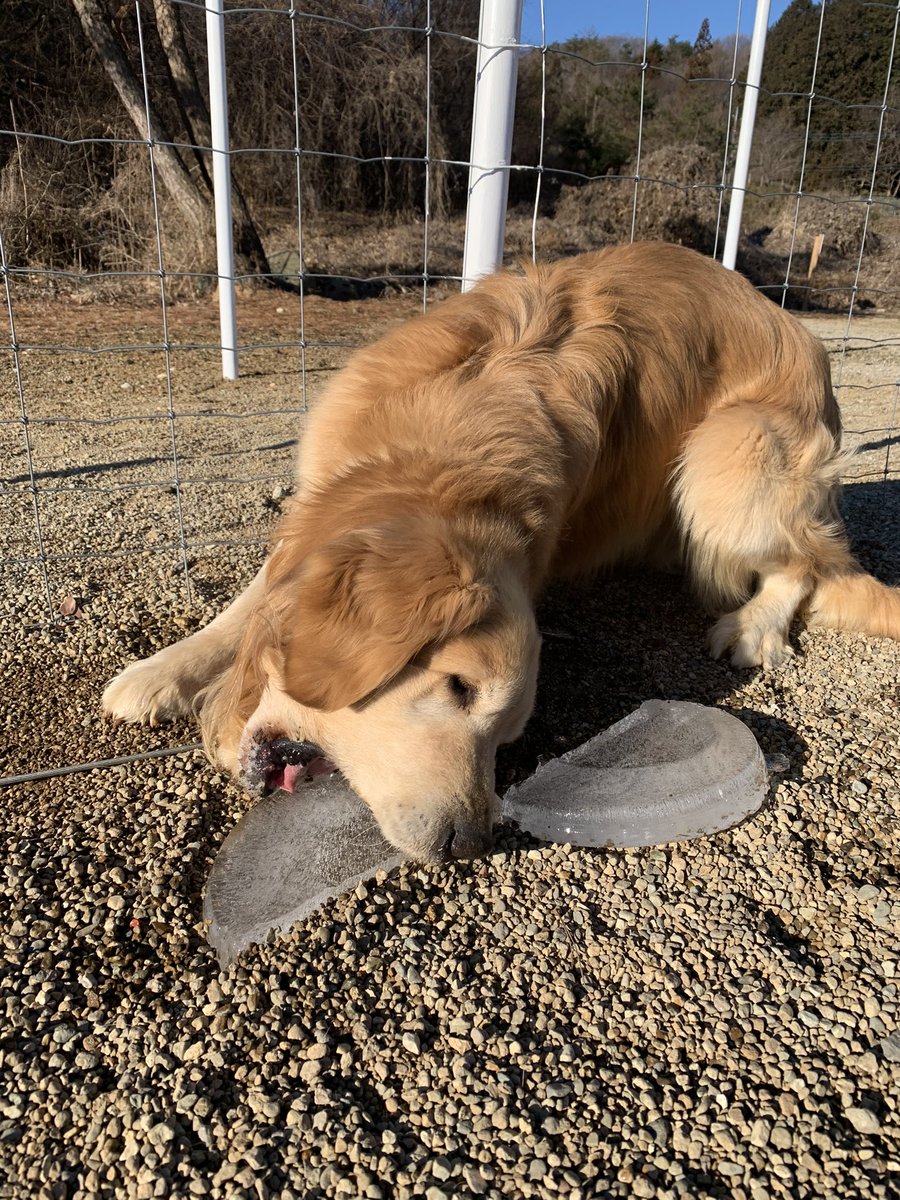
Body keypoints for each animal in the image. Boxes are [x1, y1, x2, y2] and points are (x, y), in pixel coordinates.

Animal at [103, 243, 900, 864]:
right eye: (458, 688)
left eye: (506, 736)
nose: (471, 842)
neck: (447, 451)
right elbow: (253, 596)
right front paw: (161, 671)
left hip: (729, 451)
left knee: (805, 565)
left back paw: (751, 626)